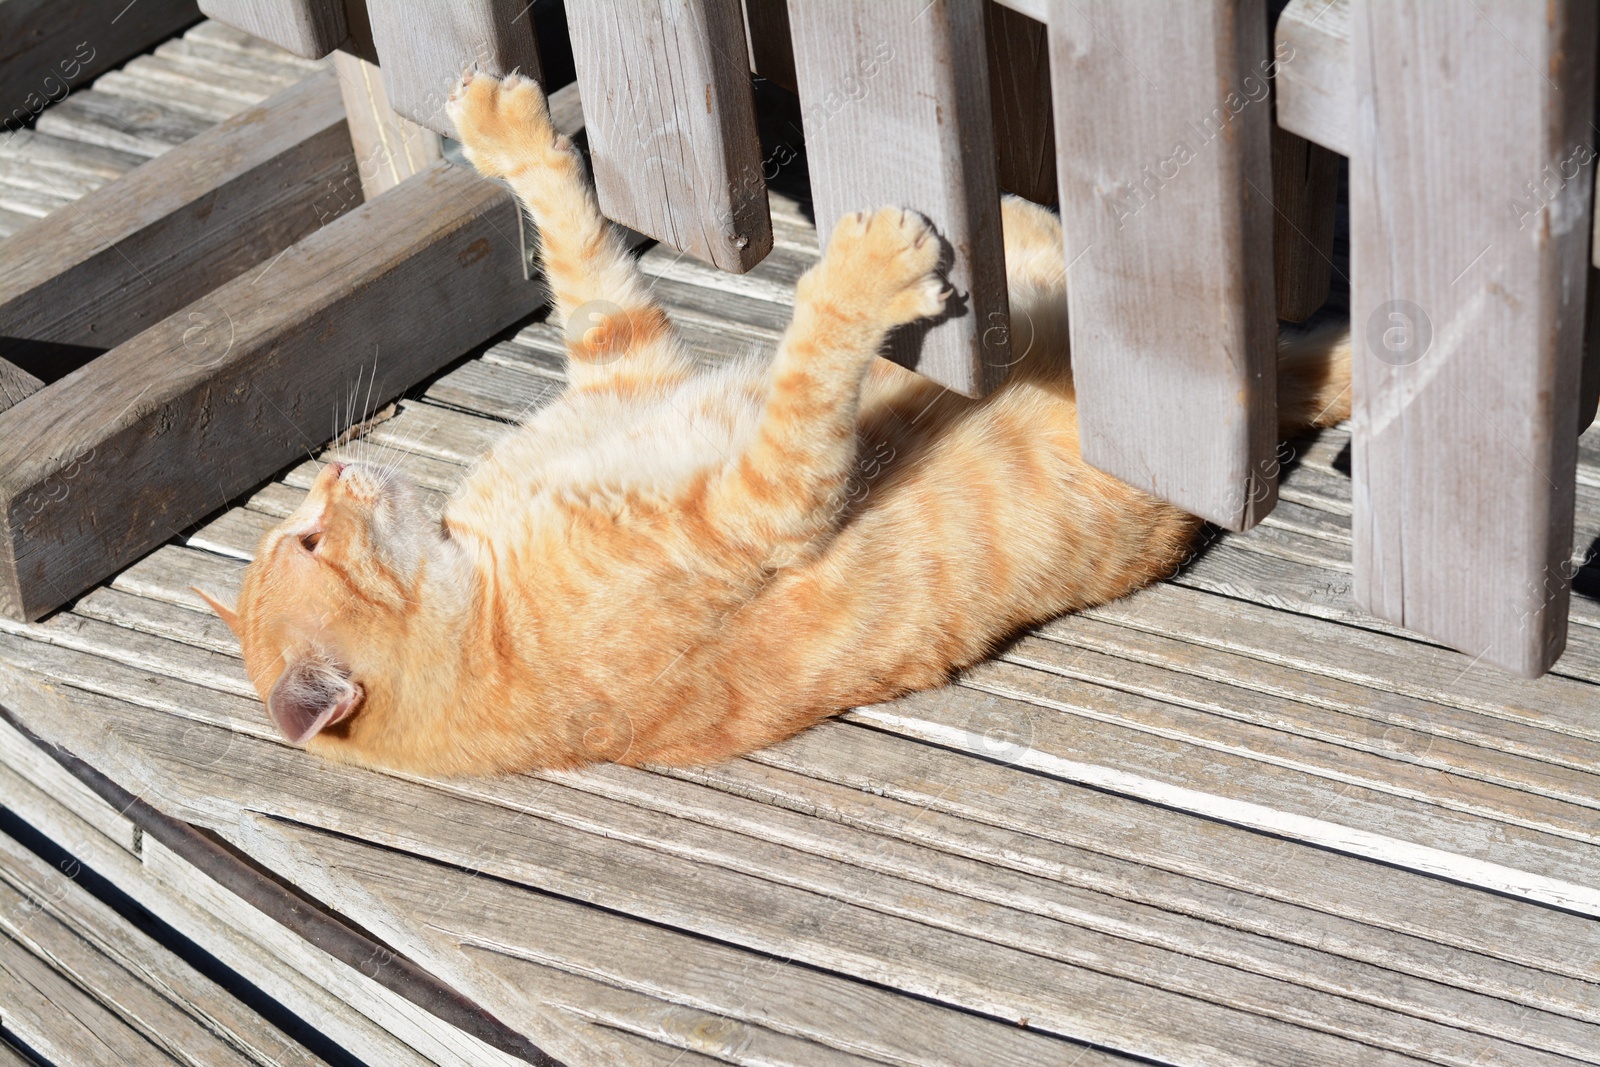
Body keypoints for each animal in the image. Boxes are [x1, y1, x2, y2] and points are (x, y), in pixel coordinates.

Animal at [200, 73, 1350, 777]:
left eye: (295, 532)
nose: (333, 471)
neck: (478, 573)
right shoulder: (760, 503)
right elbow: (814, 355)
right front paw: (864, 271)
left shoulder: (625, 355)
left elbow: (580, 249)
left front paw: (504, 130)